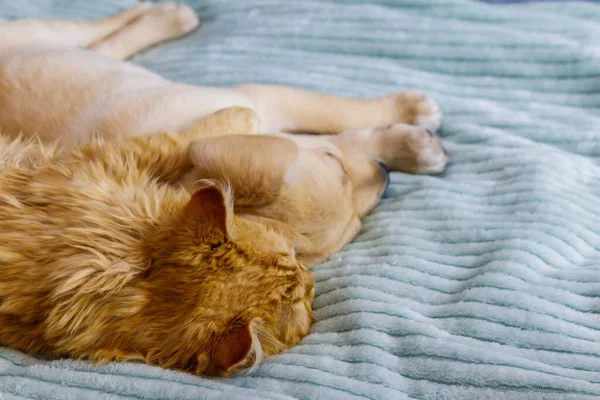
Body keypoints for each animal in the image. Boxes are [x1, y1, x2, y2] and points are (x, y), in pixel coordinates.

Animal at [0, 2, 446, 266]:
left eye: (333, 165)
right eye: (354, 228)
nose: (386, 175)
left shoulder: (266, 106)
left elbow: (339, 117)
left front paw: (405, 130)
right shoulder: (263, 100)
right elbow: (341, 118)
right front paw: (410, 132)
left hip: (59, 43)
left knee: (105, 36)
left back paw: (161, 13)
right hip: (45, 36)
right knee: (97, 34)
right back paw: (169, 17)